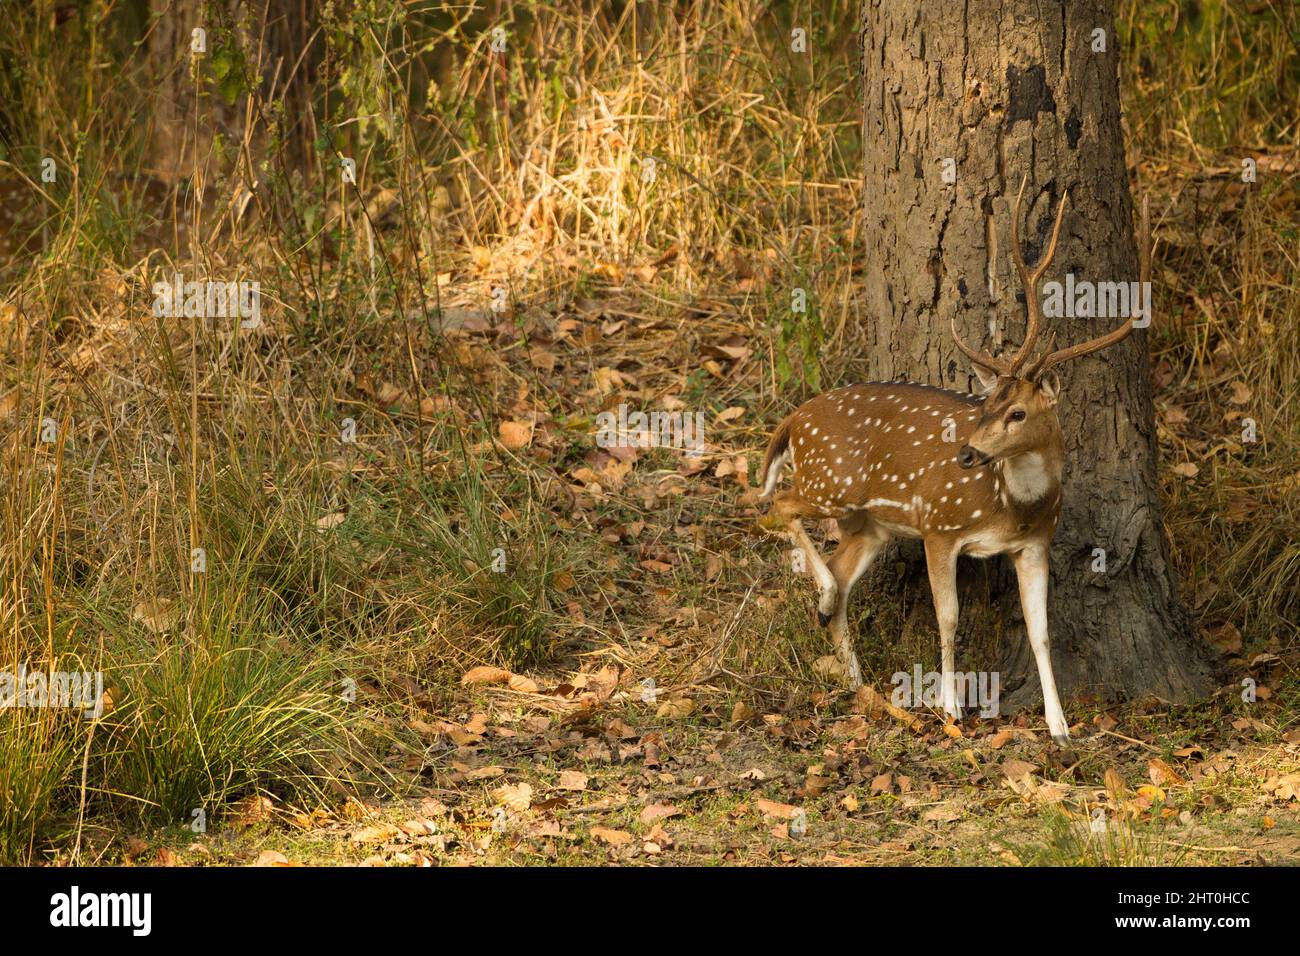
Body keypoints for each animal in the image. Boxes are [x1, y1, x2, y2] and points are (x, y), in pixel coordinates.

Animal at [759, 183, 1154, 743]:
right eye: (984, 405)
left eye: (1017, 412)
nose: (967, 453)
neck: (1012, 505)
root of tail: (794, 418)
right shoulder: (939, 525)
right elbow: (948, 617)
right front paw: (949, 709)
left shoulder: (1035, 544)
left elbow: (1041, 632)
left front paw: (1059, 726)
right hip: (830, 480)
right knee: (776, 505)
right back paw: (827, 602)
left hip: (870, 524)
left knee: (837, 566)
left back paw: (854, 674)